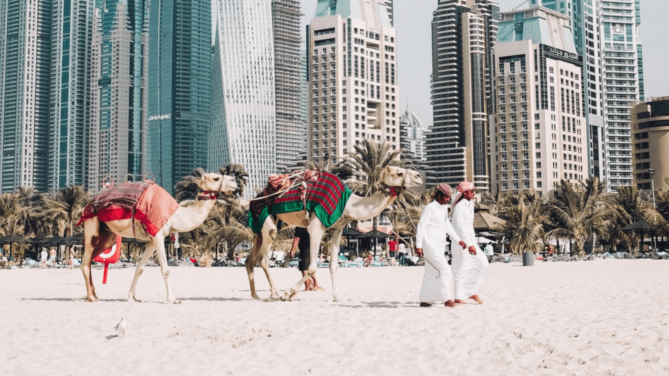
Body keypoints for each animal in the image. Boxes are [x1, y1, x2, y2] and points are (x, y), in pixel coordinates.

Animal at [80, 173, 237, 302]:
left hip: (108, 235)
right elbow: (165, 270)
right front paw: (172, 299)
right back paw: (90, 297)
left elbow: (139, 268)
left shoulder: (152, 240)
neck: (175, 216)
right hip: (92, 222)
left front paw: (132, 297)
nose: (234, 181)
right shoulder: (159, 236)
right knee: (86, 260)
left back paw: (95, 294)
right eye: (216, 178)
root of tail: (88, 204)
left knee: (92, 258)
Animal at [245, 166, 422, 302]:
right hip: (267, 220)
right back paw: (275, 293)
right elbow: (312, 267)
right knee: (264, 259)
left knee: (250, 259)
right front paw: (288, 293)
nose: (419, 176)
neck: (347, 205)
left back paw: (255, 295)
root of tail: (255, 198)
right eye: (399, 173)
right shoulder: (316, 227)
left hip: (262, 225)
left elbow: (333, 265)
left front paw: (337, 296)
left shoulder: (338, 229)